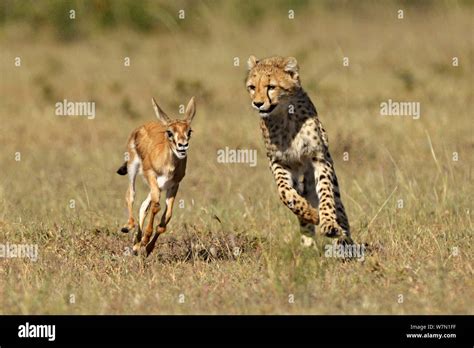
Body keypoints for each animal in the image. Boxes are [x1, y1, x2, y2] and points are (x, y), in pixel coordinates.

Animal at [244, 55, 352, 245]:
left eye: (271, 87)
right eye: (252, 87)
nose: (257, 103)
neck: (283, 115)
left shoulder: (319, 158)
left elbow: (326, 193)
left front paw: (329, 224)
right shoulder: (278, 161)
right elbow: (285, 193)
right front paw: (312, 215)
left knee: (339, 208)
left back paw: (344, 240)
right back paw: (308, 242)